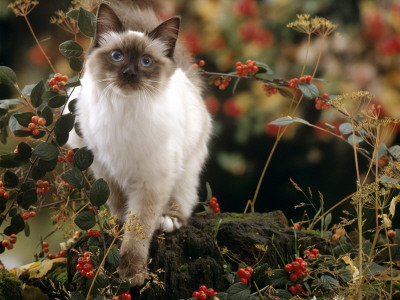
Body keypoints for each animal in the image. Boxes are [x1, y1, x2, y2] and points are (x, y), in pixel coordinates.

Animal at [68, 0, 212, 286]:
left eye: (146, 62)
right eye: (117, 56)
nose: (129, 73)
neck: (124, 111)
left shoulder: (151, 182)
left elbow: (138, 231)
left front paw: (131, 274)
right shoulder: (107, 172)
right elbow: (120, 211)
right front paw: (116, 233)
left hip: (185, 169)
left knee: (184, 198)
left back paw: (169, 220)